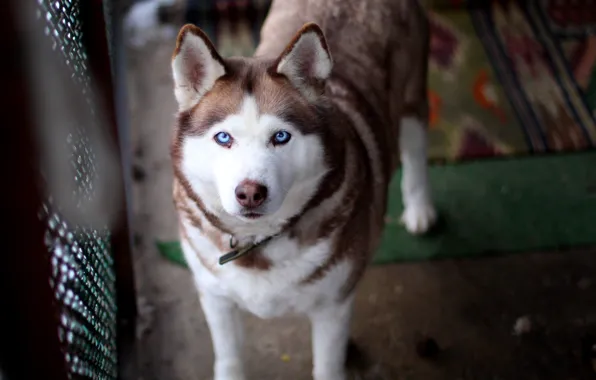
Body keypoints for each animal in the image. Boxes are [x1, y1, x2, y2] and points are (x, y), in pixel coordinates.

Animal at [170, 0, 436, 378]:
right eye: (223, 138)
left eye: (281, 136)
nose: (250, 193)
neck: (258, 244)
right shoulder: (215, 297)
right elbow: (229, 356)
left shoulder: (333, 306)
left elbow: (327, 365)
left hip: (413, 95)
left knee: (414, 147)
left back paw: (420, 208)